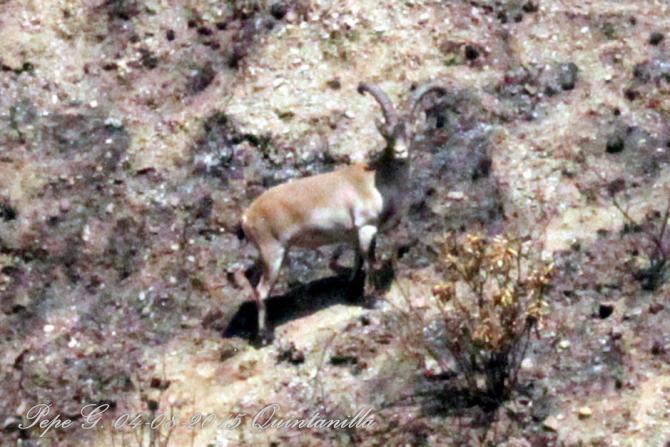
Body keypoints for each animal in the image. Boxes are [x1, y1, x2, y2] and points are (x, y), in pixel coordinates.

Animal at [238, 81, 447, 344]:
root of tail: (247, 216)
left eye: (410, 133)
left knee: (251, 278)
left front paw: (352, 292)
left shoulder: (356, 233)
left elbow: (358, 260)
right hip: (273, 252)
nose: (401, 153)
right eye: (387, 134)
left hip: (265, 253)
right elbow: (369, 260)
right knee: (262, 290)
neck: (378, 181)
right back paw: (265, 336)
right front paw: (373, 300)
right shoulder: (366, 227)